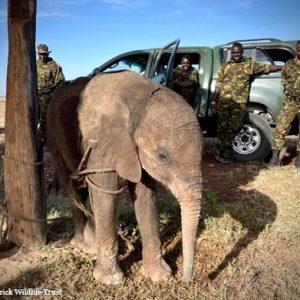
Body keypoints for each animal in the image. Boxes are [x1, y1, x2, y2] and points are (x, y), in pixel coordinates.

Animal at [47, 69, 204, 284]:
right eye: (163, 156)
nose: (185, 280)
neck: (141, 98)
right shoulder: (102, 141)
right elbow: (107, 194)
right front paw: (110, 281)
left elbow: (146, 196)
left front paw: (159, 276)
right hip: (54, 139)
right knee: (73, 188)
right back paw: (82, 246)